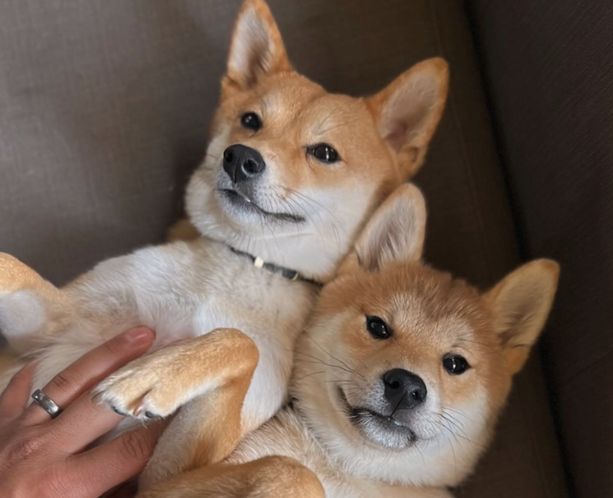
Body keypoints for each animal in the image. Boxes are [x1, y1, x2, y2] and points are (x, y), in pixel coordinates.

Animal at [0, 0, 448, 490]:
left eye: (324, 153)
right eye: (251, 121)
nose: (240, 157)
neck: (245, 265)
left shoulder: (164, 473)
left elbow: (238, 342)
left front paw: (152, 376)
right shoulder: (55, 325)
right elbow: (10, 266)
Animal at [138, 184, 559, 498]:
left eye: (456, 363)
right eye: (378, 327)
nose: (407, 385)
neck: (350, 470)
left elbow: (289, 470)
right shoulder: (159, 484)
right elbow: (289, 467)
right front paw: (155, 376)